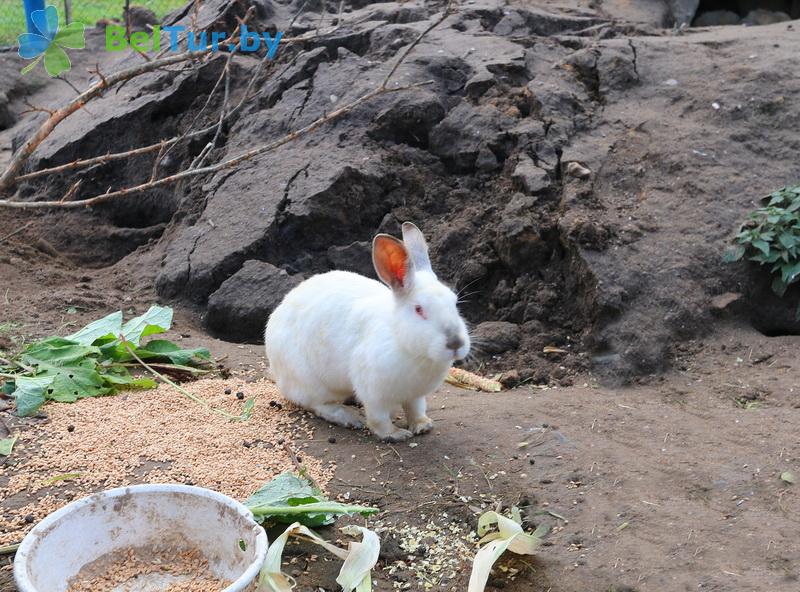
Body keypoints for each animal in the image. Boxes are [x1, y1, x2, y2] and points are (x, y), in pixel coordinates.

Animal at [266, 221, 472, 440]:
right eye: (419, 309)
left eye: (455, 303)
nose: (455, 343)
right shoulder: (373, 392)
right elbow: (378, 418)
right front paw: (396, 434)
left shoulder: (415, 394)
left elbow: (415, 409)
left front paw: (422, 426)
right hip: (310, 383)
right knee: (317, 405)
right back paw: (348, 418)